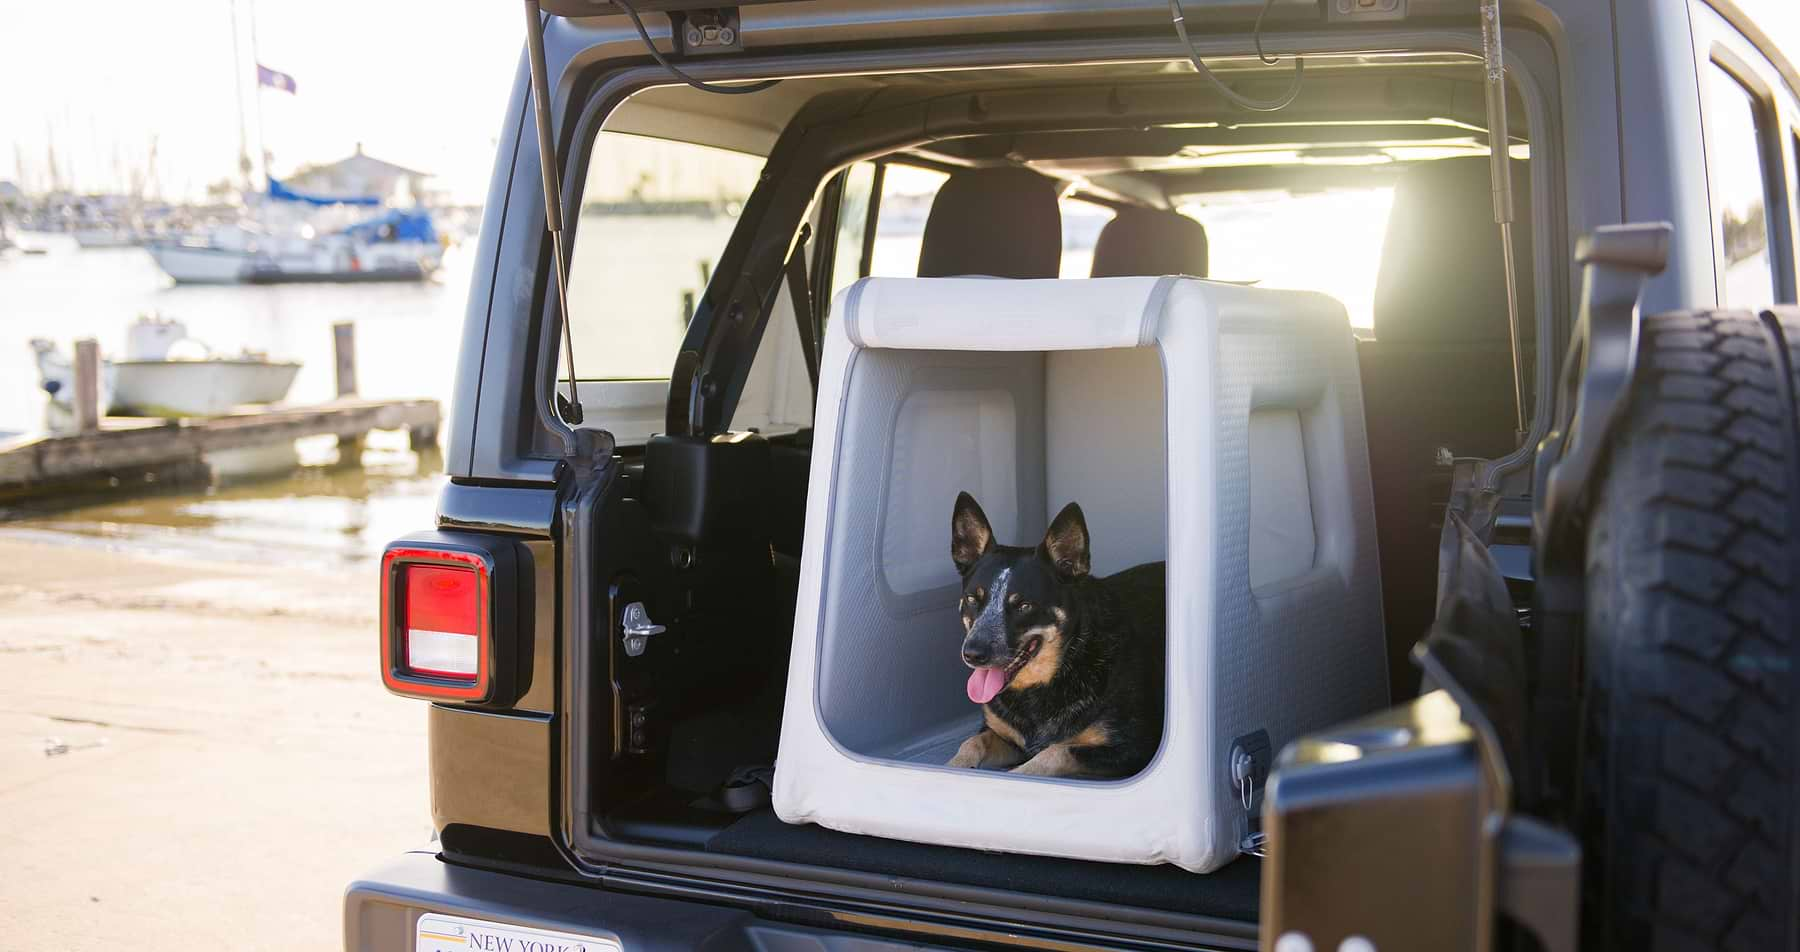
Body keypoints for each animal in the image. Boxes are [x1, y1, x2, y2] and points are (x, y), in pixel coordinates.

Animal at [943, 493, 1166, 777]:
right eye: (972, 599)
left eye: (1024, 605)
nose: (973, 654)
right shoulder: (1004, 736)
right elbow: (972, 742)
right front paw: (951, 767)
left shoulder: (1133, 749)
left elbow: (1055, 752)